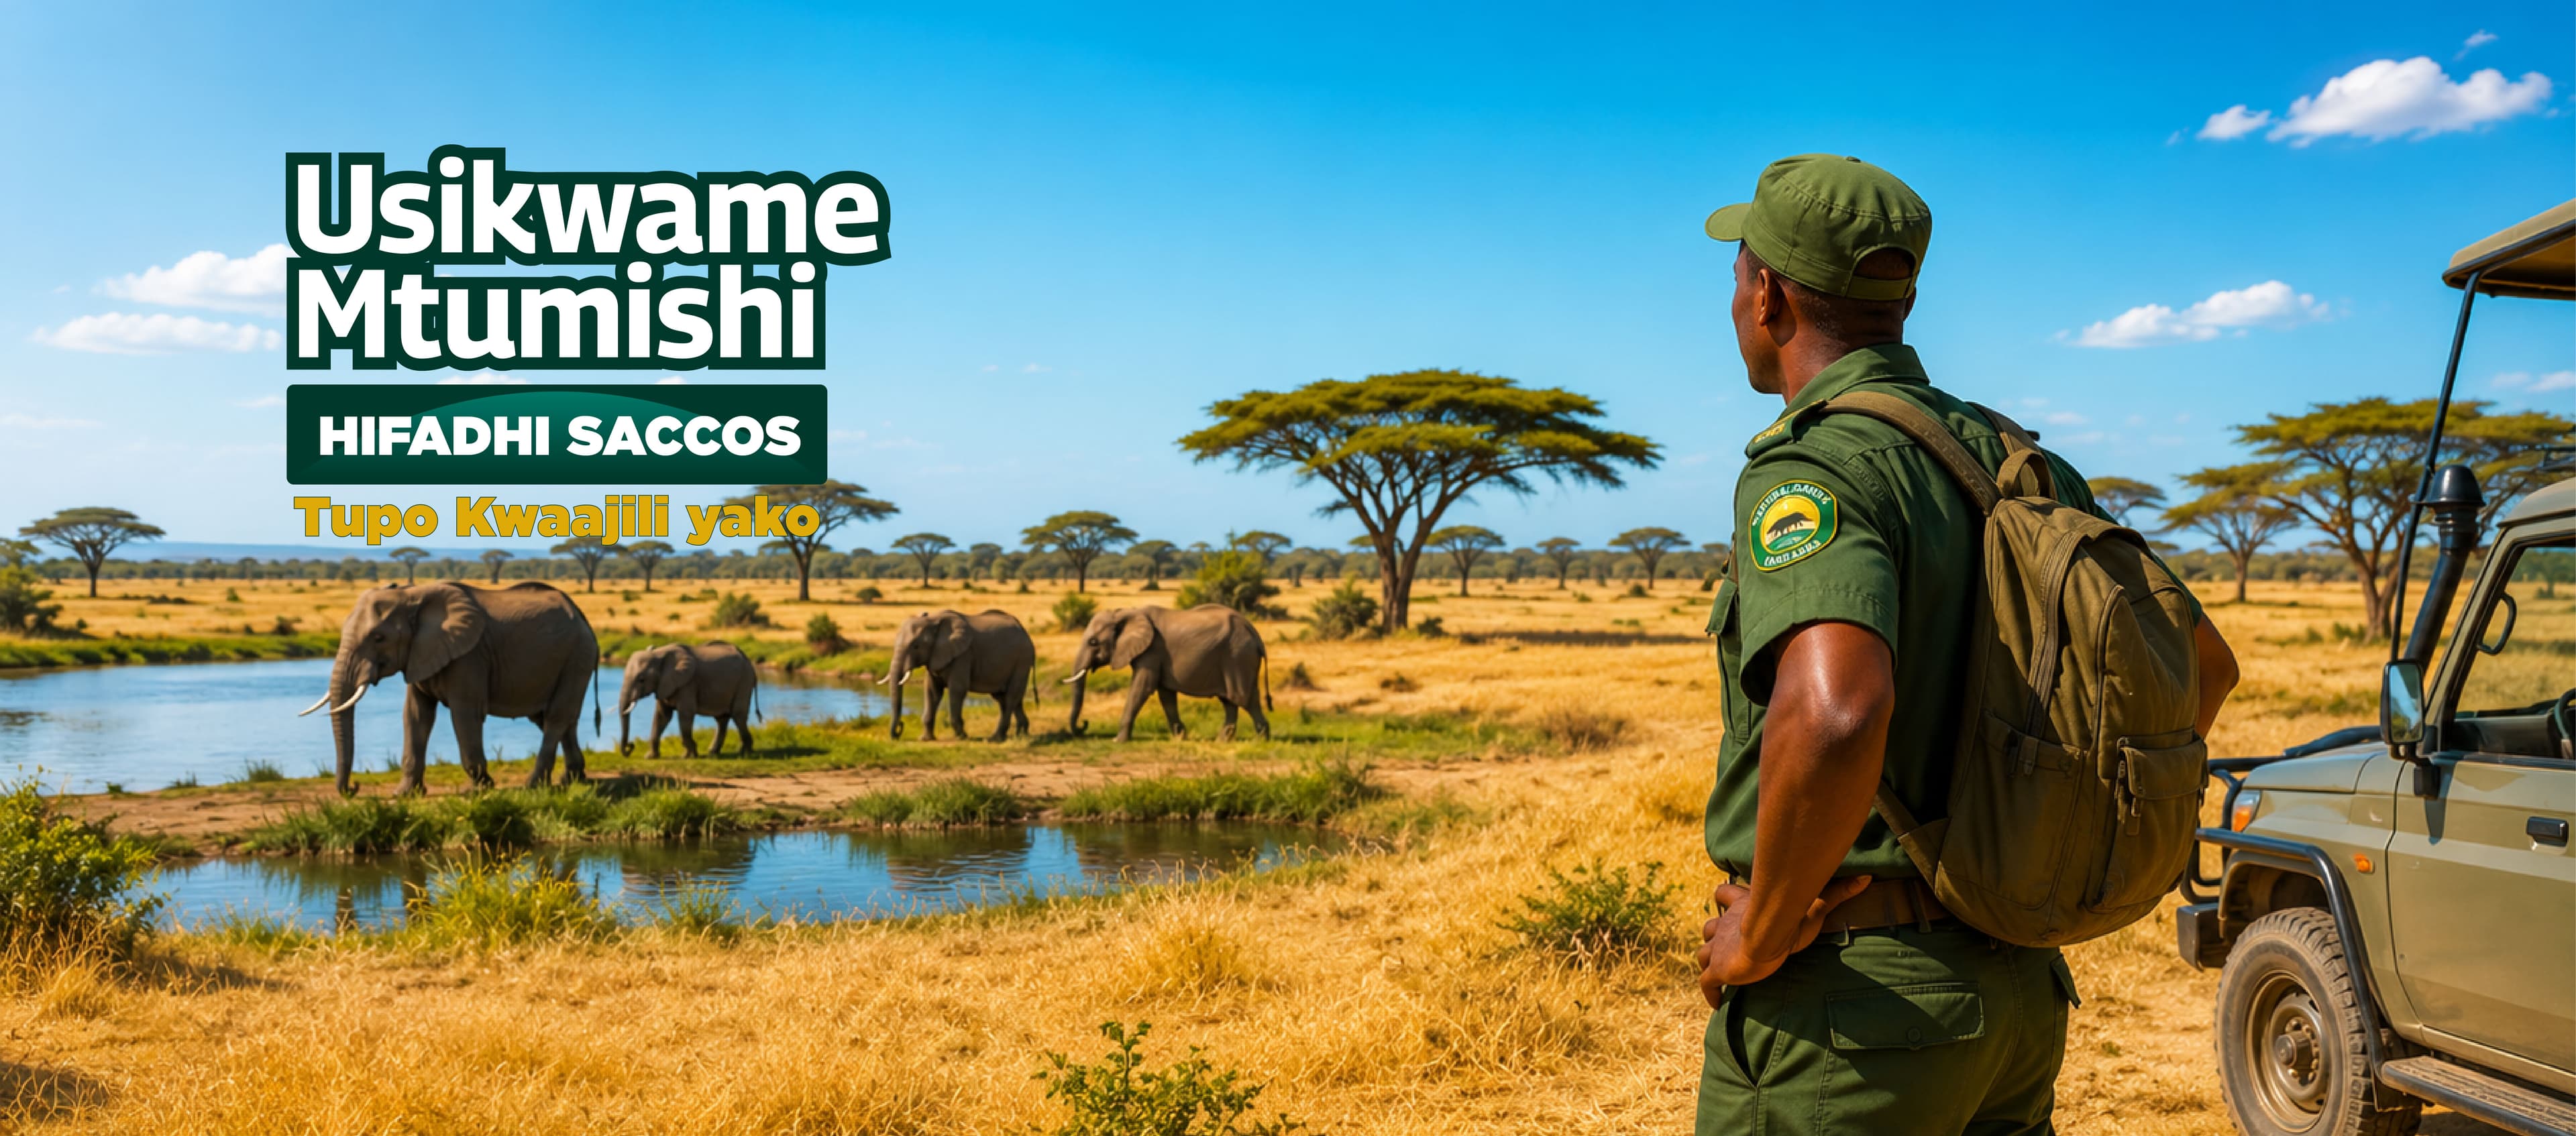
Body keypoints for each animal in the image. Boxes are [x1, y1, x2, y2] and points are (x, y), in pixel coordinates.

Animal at [297, 581, 600, 795]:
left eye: (379, 638)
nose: (354, 788)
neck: (412, 596)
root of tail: (583, 616)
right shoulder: (420, 654)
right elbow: (416, 716)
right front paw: (405, 795)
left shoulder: (469, 656)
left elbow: (465, 714)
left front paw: (480, 789)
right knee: (555, 718)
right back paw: (573, 780)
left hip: (577, 656)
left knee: (556, 717)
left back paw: (534, 785)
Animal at [617, 642, 761, 759]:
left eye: (641, 680)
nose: (630, 747)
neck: (660, 653)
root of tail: (750, 662)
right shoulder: (664, 684)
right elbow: (662, 716)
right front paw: (650, 757)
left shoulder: (688, 684)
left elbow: (685, 714)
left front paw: (688, 756)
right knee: (722, 719)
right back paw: (713, 753)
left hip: (744, 681)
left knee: (738, 716)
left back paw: (745, 754)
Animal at [879, 609, 1036, 742]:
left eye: (916, 646)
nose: (899, 730)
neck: (934, 620)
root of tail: (1025, 633)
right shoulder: (935, 656)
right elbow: (932, 691)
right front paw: (925, 739)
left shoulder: (963, 655)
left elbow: (957, 689)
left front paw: (962, 737)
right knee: (1006, 699)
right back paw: (1021, 734)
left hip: (1022, 660)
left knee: (1011, 697)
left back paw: (996, 738)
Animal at [1063, 605, 1271, 742]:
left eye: (1093, 642)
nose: (1085, 724)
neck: (1127, 612)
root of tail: (1256, 635)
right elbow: (1166, 695)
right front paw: (1181, 738)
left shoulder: (1152, 651)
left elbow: (1142, 688)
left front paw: (1118, 741)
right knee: (1231, 701)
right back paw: (1224, 741)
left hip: (1238, 657)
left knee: (1245, 699)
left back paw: (1261, 741)